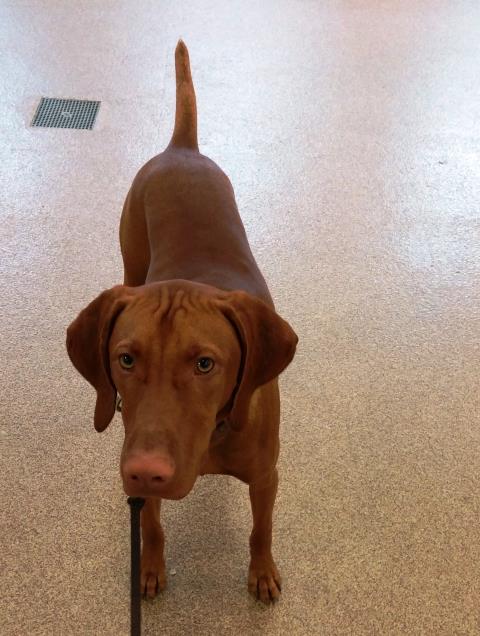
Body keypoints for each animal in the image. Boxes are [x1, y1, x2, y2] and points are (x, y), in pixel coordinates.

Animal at [66, 40, 297, 604]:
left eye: (205, 364)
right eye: (126, 359)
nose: (146, 473)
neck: (214, 435)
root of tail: (181, 149)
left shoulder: (267, 476)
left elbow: (262, 528)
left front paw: (262, 572)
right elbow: (150, 523)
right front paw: (148, 567)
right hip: (130, 259)